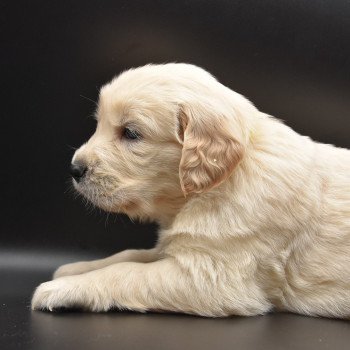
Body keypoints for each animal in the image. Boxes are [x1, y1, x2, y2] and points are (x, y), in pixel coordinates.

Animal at [31, 63, 348, 318]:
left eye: (131, 133)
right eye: (100, 125)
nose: (74, 169)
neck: (215, 187)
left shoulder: (211, 277)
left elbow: (126, 271)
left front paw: (63, 288)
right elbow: (129, 255)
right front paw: (76, 268)